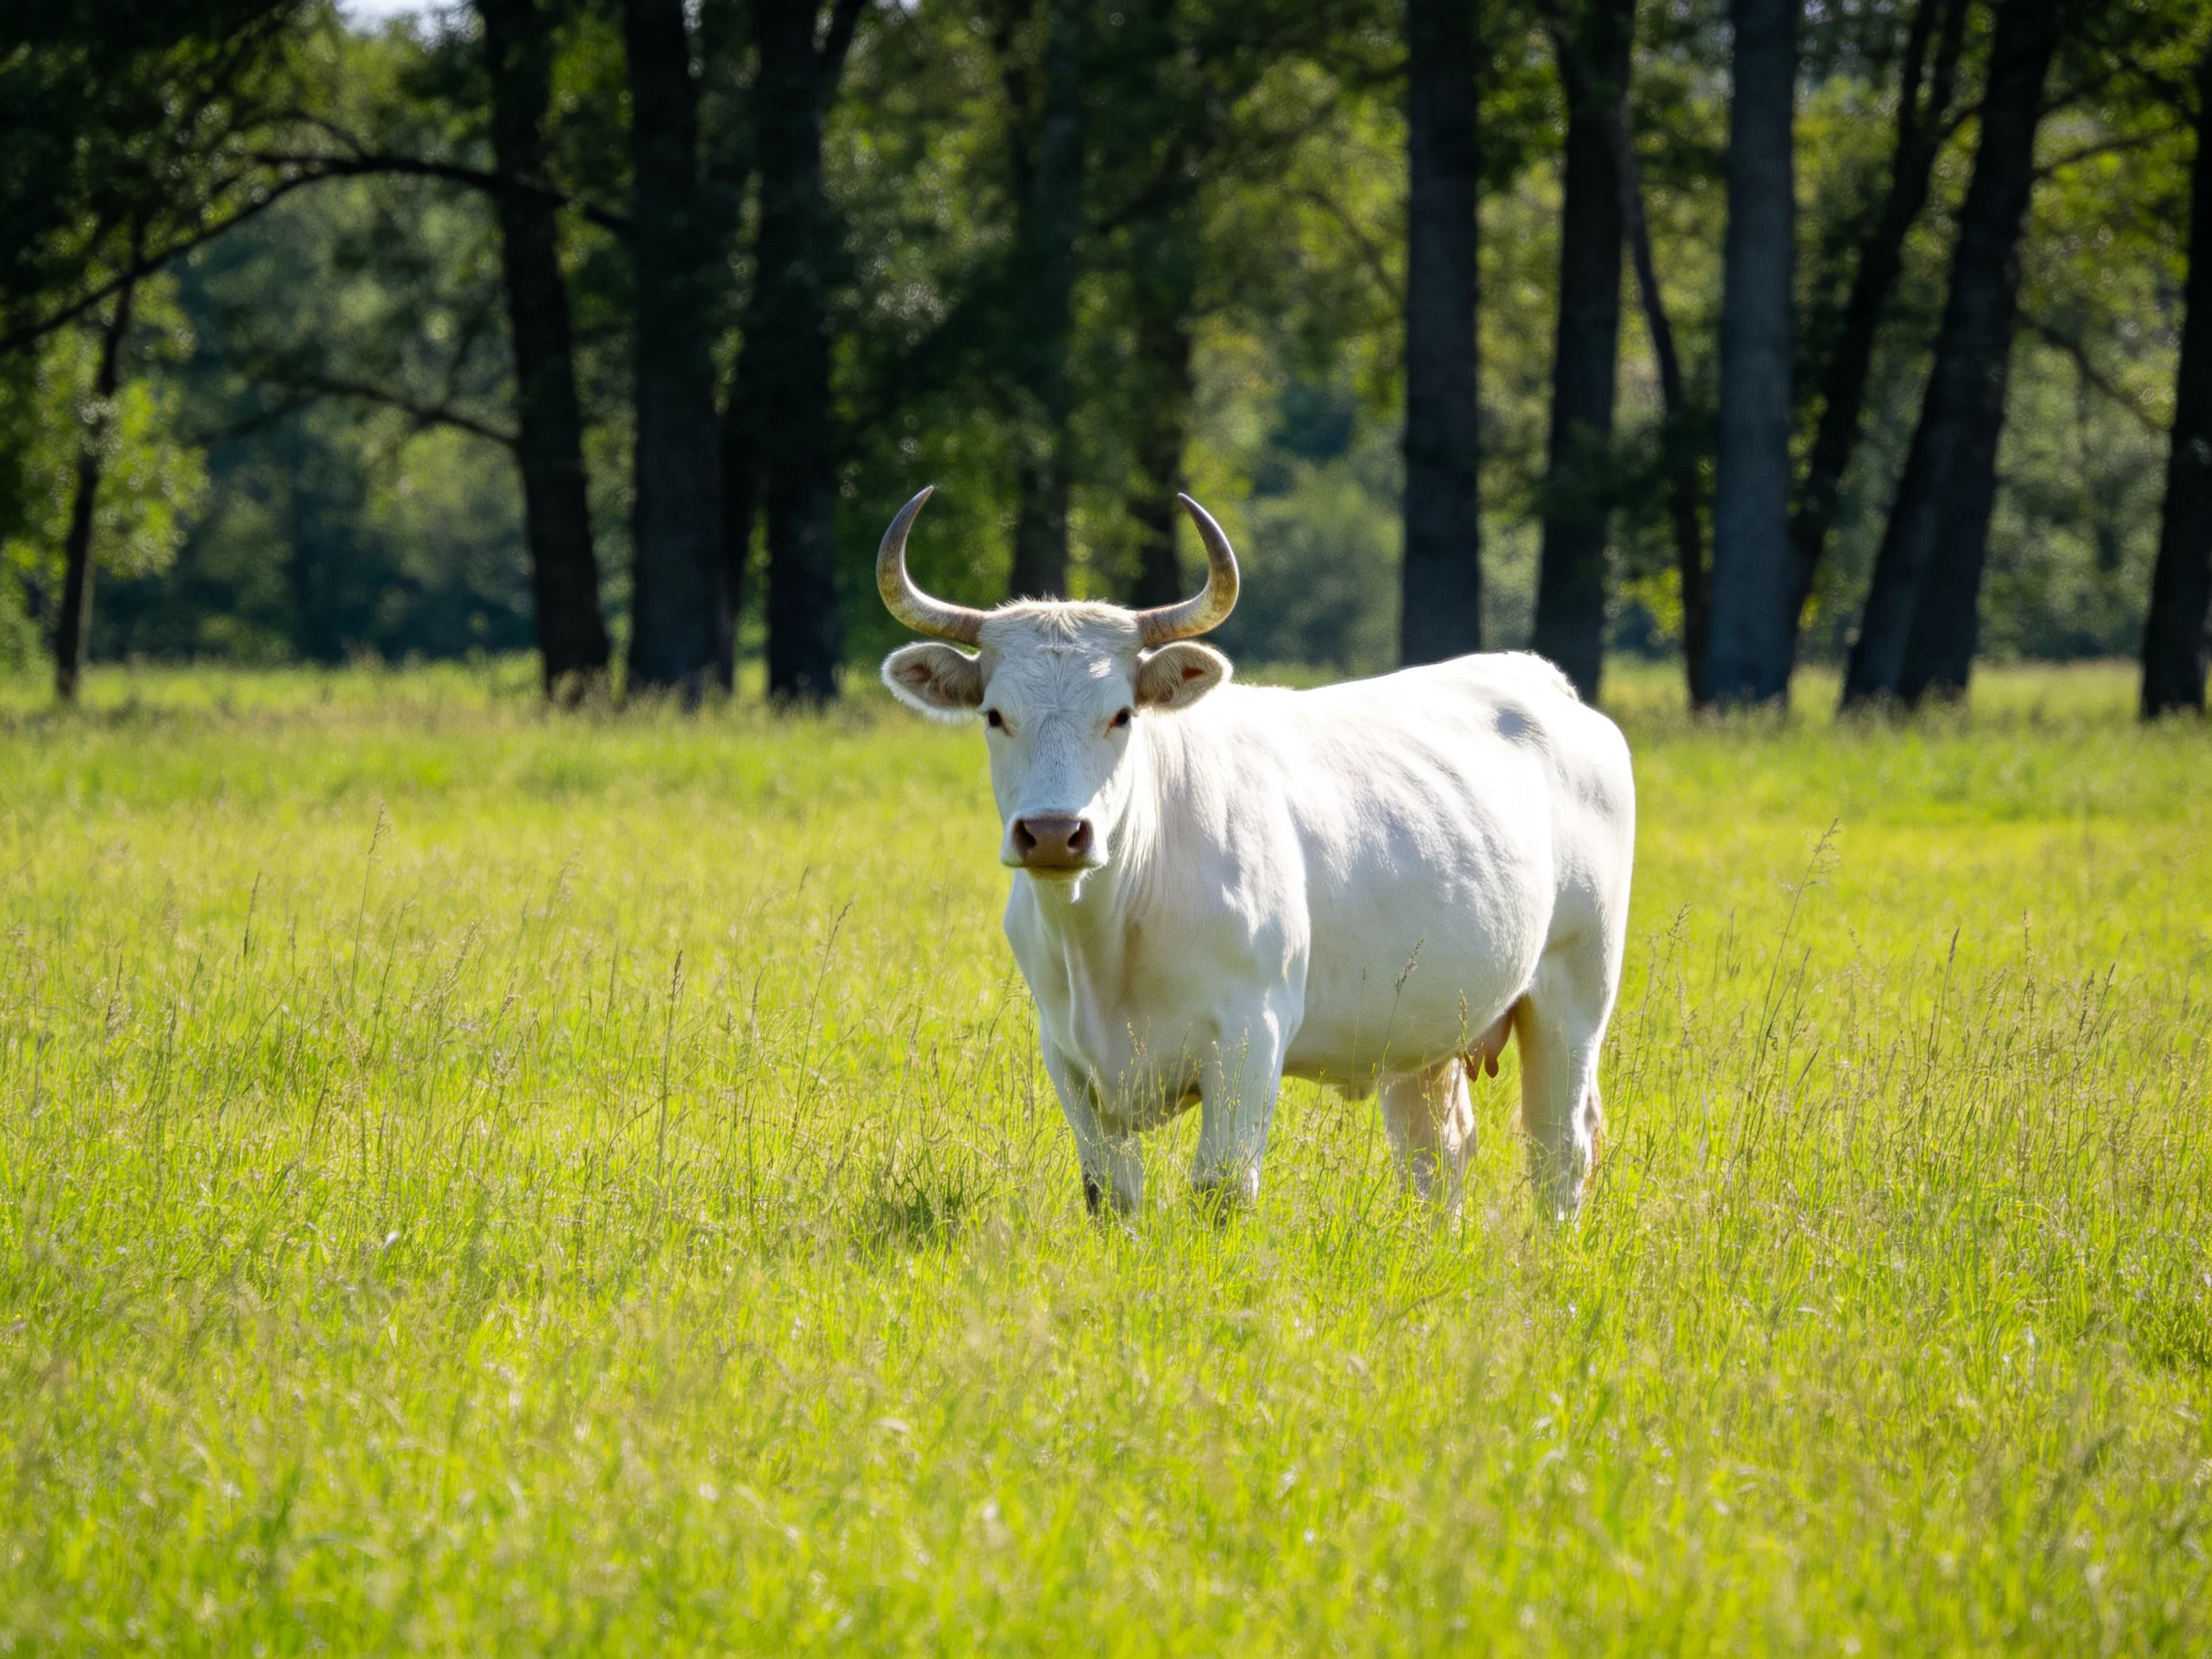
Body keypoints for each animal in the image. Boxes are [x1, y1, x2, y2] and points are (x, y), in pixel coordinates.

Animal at [877, 487, 1635, 1220]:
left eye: (1121, 713)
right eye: (994, 715)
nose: (1056, 833)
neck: (1105, 941)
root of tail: (1538, 678)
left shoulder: (1250, 1036)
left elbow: (1220, 1189)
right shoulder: (1066, 1054)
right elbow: (1110, 1195)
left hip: (1573, 993)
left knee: (1558, 1150)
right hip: (1424, 1025)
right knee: (1436, 1151)